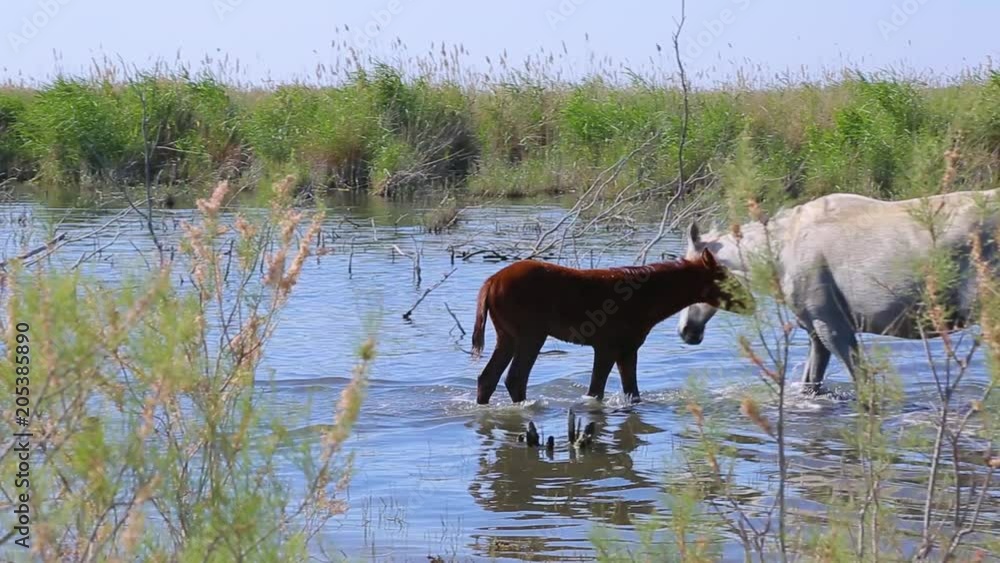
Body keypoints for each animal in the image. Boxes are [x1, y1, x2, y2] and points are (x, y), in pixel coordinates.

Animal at [472, 248, 746, 405]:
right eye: (725, 279)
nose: (749, 302)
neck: (651, 301)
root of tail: (490, 283)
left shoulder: (628, 348)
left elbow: (632, 392)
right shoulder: (606, 346)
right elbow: (596, 392)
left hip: (506, 335)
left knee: (488, 378)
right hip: (531, 334)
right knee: (515, 378)